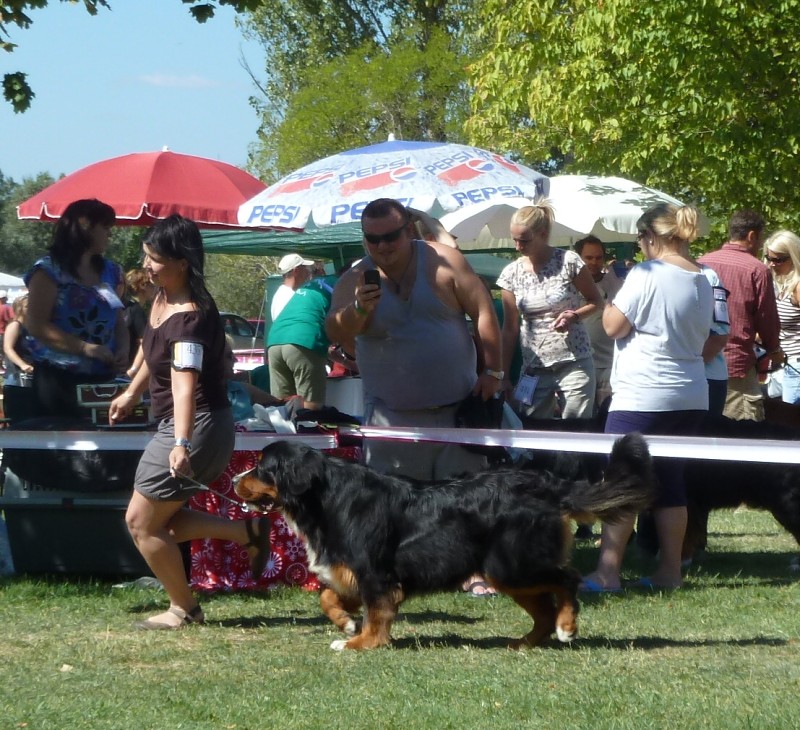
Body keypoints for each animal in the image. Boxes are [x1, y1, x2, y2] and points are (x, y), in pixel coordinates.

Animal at [234, 432, 652, 648]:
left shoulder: (376, 575)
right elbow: (327, 597)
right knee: (544, 609)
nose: (236, 479)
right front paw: (347, 626)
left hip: (513, 564)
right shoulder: (350, 573)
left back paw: (567, 627)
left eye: (261, 468)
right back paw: (525, 642)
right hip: (507, 573)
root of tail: (544, 483)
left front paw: (362, 642)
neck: (326, 497)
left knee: (567, 580)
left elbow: (377, 614)